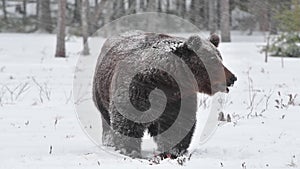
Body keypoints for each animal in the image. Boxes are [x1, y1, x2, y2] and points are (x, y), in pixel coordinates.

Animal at [91, 30, 237, 158]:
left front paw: (173, 152)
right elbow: (128, 120)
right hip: (101, 92)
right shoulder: (136, 89)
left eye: (220, 58)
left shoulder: (177, 98)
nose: (232, 78)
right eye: (212, 60)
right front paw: (130, 151)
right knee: (106, 119)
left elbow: (178, 124)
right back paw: (109, 142)